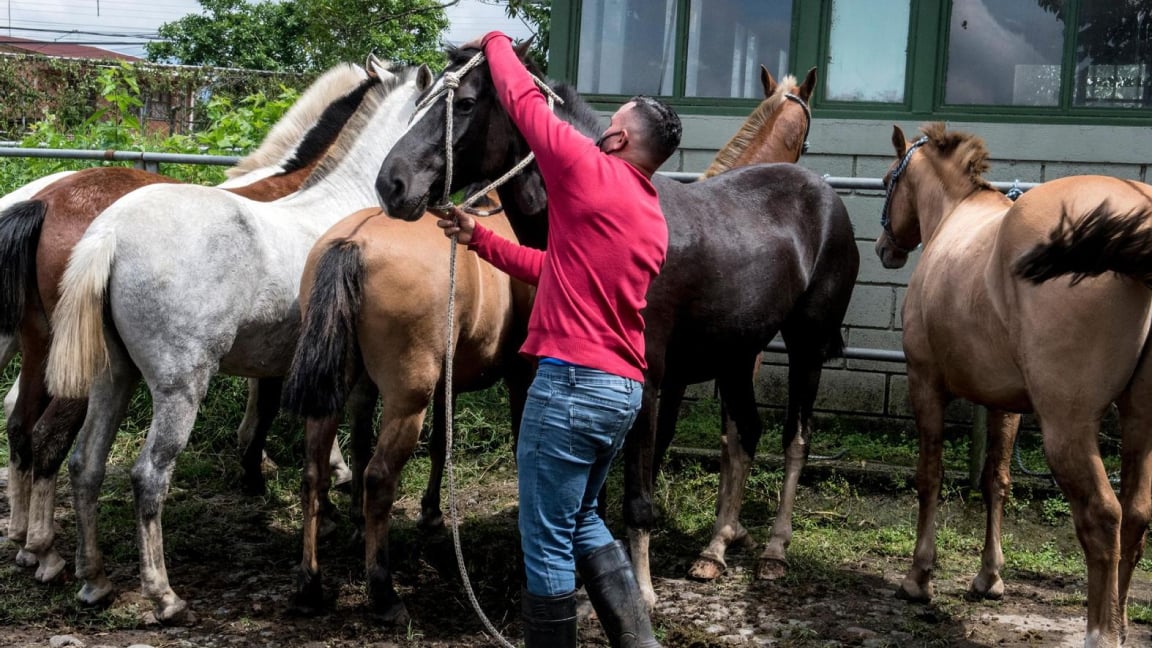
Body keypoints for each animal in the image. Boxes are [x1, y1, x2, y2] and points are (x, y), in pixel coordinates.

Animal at [44, 61, 433, 622]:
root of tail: (110, 234)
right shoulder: (353, 377)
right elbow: (354, 445)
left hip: (112, 378)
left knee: (84, 464)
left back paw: (94, 581)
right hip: (179, 390)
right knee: (148, 476)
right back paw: (164, 596)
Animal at [281, 198, 532, 622]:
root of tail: (352, 245)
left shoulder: (440, 384)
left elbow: (437, 444)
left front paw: (427, 514)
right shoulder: (519, 375)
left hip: (330, 389)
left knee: (313, 475)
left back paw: (309, 586)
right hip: (407, 399)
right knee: (380, 477)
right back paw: (383, 592)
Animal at [373, 45, 861, 604]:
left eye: (468, 102)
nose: (391, 183)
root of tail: (824, 195)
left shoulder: (646, 382)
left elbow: (638, 492)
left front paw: (642, 591)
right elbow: (593, 495)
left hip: (806, 347)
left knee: (796, 440)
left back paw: (775, 551)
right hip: (738, 353)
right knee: (746, 433)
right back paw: (714, 551)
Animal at [870, 122, 1152, 645]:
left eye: (885, 182)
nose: (884, 249)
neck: (955, 215)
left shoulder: (925, 383)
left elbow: (929, 476)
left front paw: (919, 578)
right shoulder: (1005, 403)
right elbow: (996, 481)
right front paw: (989, 577)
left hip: (1068, 427)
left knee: (1104, 517)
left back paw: (1101, 631)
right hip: (1140, 423)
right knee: (1137, 514)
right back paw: (1121, 623)